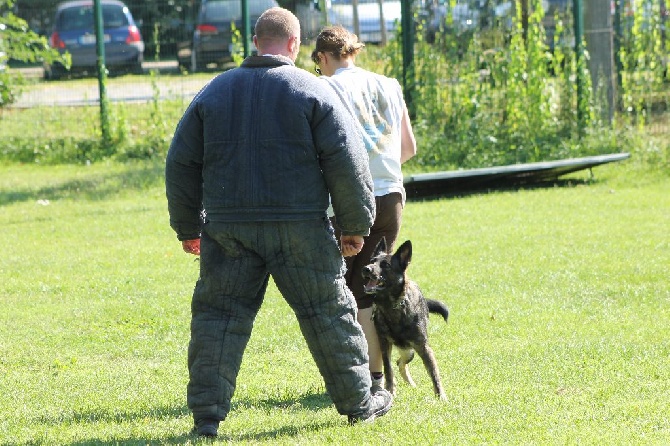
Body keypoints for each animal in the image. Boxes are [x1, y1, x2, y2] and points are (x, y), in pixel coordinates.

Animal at [362, 237, 452, 400]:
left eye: (385, 265)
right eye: (372, 261)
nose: (366, 268)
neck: (393, 306)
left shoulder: (424, 347)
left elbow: (434, 373)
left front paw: (441, 397)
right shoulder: (384, 345)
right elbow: (388, 370)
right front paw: (390, 391)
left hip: (410, 351)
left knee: (401, 362)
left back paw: (411, 384)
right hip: (406, 351)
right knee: (398, 363)